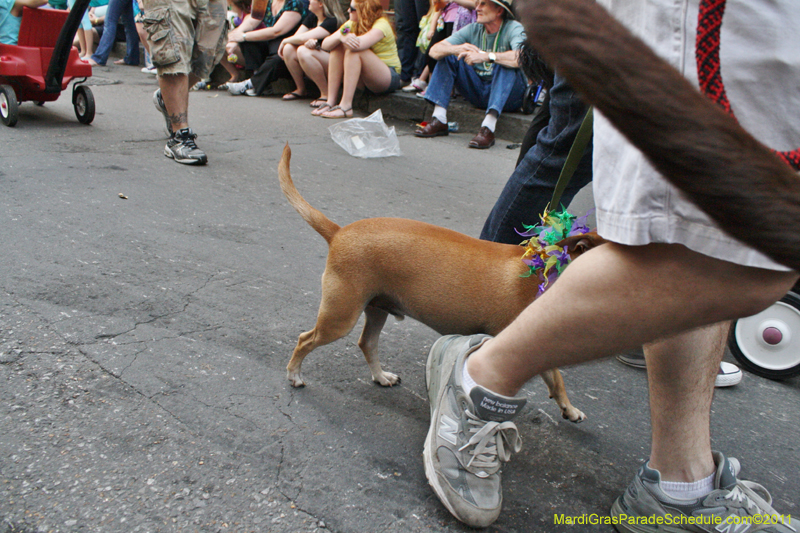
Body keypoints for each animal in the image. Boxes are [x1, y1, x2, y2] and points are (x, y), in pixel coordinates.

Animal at [278, 143, 604, 422]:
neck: (547, 271)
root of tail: (339, 231)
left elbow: (556, 379)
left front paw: (569, 408)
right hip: (340, 317)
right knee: (305, 340)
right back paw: (294, 375)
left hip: (376, 309)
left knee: (367, 343)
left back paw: (381, 377)